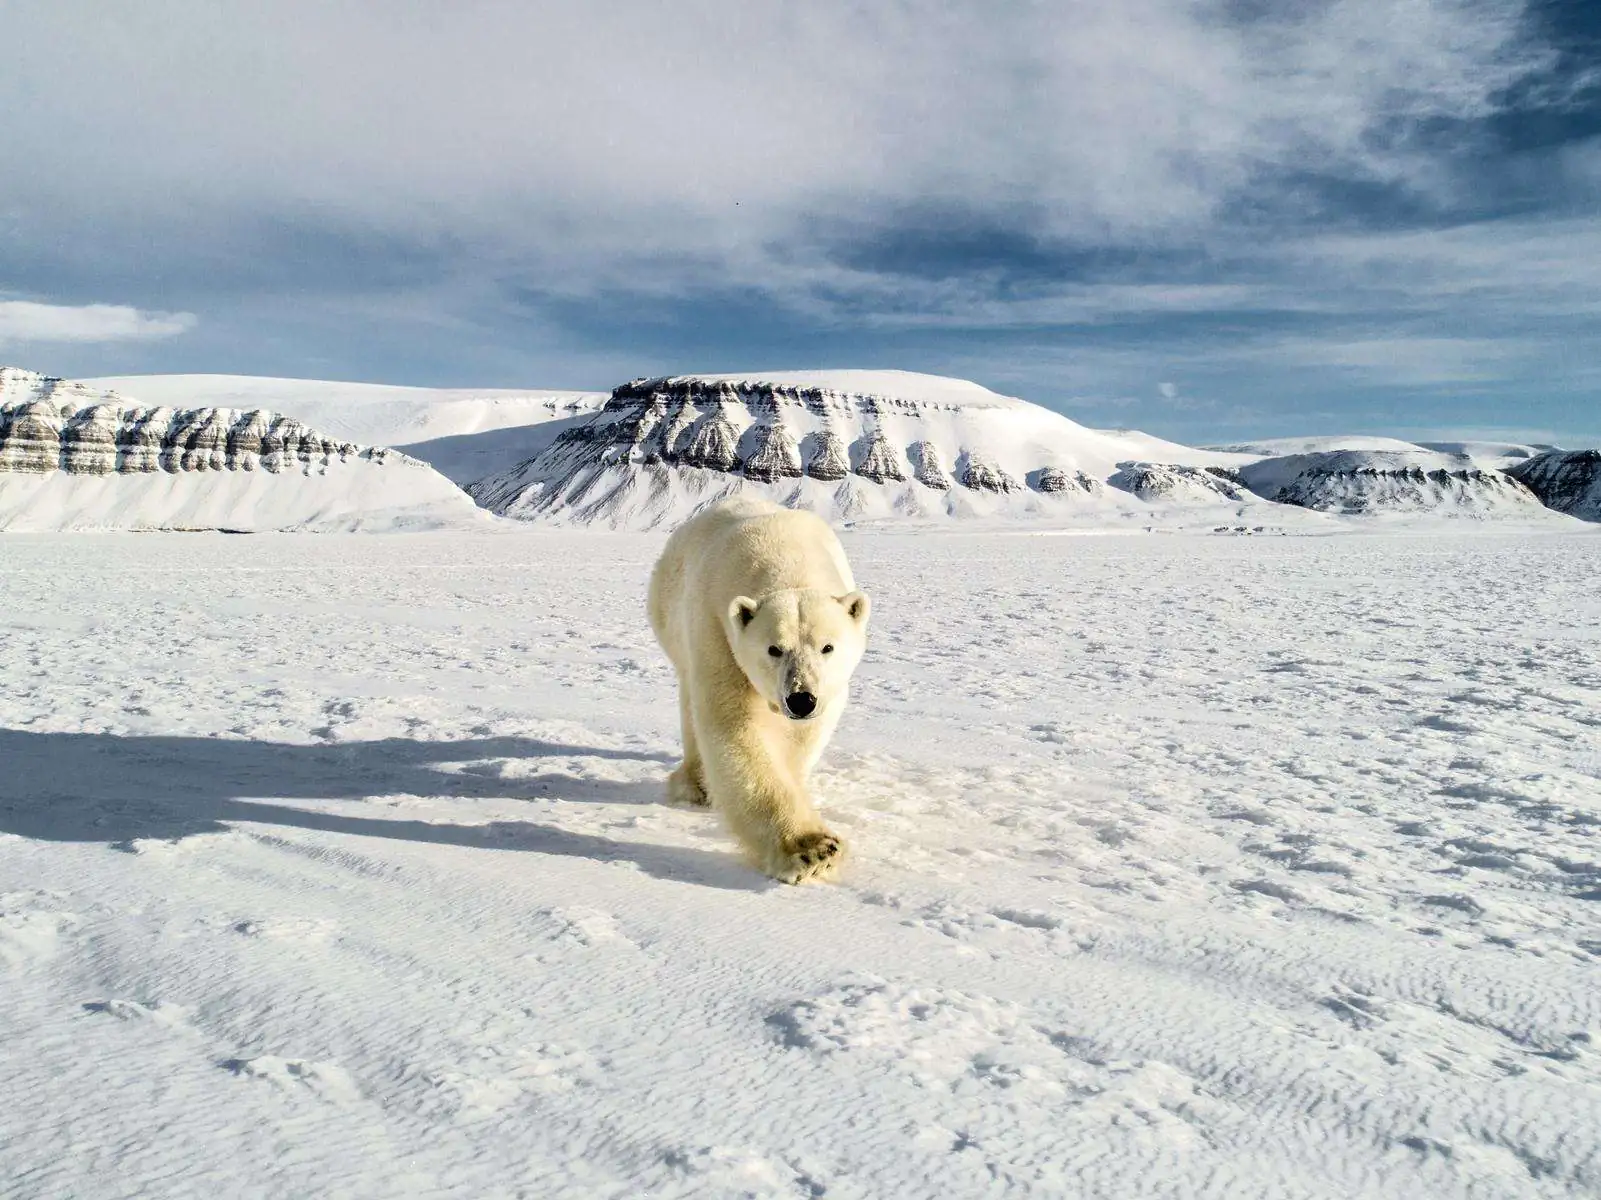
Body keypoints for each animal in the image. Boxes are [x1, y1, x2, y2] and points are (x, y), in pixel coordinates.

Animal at [650, 496, 877, 883]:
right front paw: (812, 849)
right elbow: (735, 725)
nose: (801, 699)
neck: (783, 554)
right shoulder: (717, 627)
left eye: (827, 647)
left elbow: (802, 737)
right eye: (774, 648)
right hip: (670, 615)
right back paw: (695, 785)